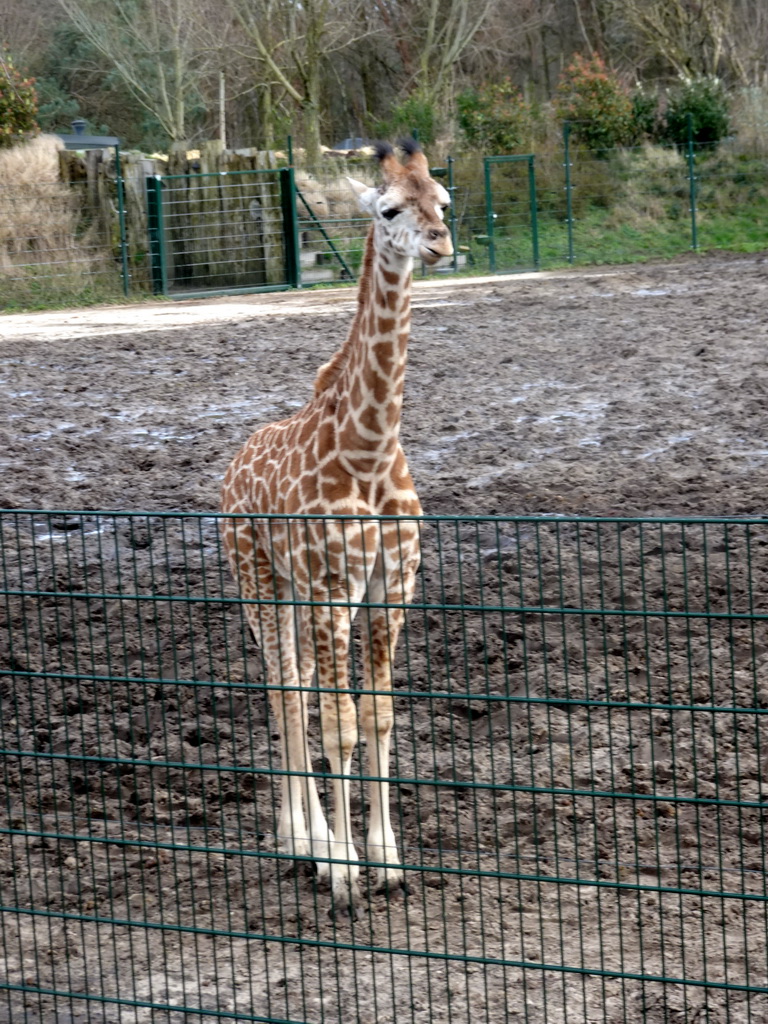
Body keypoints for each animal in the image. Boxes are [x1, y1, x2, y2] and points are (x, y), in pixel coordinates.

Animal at [219, 140, 454, 917]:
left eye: (443, 198)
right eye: (390, 209)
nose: (441, 244)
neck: (370, 449)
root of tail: (231, 469)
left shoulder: (392, 587)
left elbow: (378, 715)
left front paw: (388, 861)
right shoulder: (334, 588)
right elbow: (338, 721)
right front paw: (347, 871)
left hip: (290, 590)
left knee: (293, 688)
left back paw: (306, 841)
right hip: (257, 580)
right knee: (286, 691)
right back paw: (304, 845)